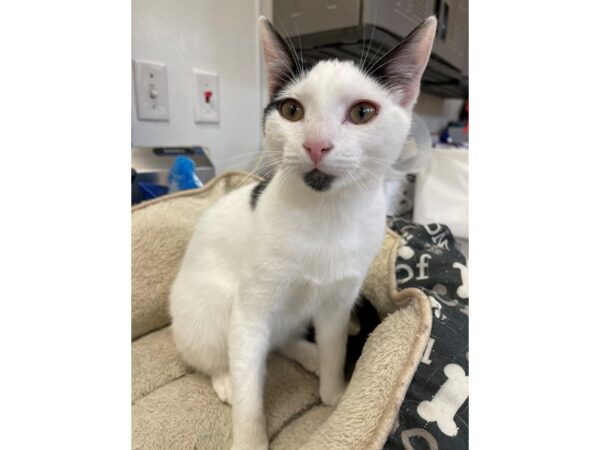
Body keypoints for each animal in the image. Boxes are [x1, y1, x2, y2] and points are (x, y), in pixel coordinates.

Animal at [169, 14, 436, 450]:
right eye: (292, 110)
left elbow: (334, 344)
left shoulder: (338, 302)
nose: (316, 144)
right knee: (217, 353)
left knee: (281, 340)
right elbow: (248, 379)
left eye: (363, 112)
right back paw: (225, 379)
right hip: (206, 309)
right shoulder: (249, 312)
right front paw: (249, 437)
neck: (325, 216)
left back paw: (308, 355)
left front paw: (335, 393)